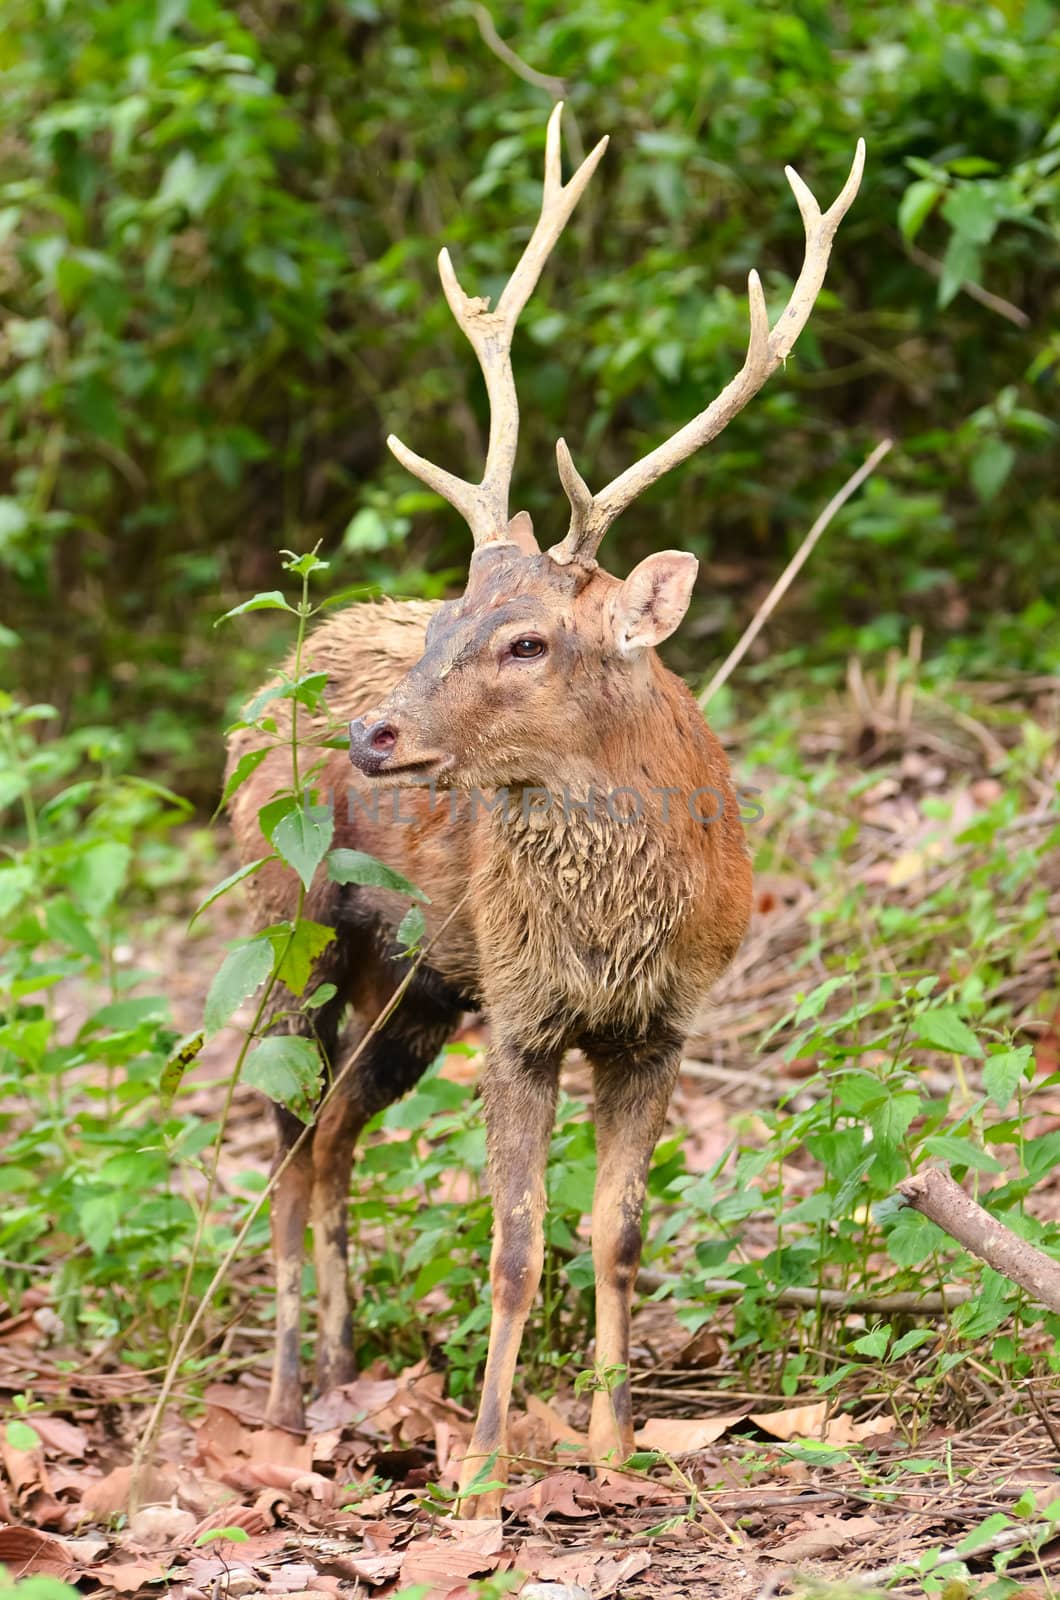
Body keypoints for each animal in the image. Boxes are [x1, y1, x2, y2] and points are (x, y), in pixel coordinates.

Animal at [228, 103, 871, 1510]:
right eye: (447, 623)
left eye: (524, 641)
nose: (371, 733)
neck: (608, 927)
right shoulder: (523, 1012)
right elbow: (515, 1244)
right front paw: (479, 1464)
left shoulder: (661, 1022)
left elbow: (616, 1233)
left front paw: (616, 1446)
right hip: (288, 925)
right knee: (286, 1141)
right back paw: (290, 1395)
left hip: (414, 988)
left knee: (336, 1137)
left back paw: (348, 1367)